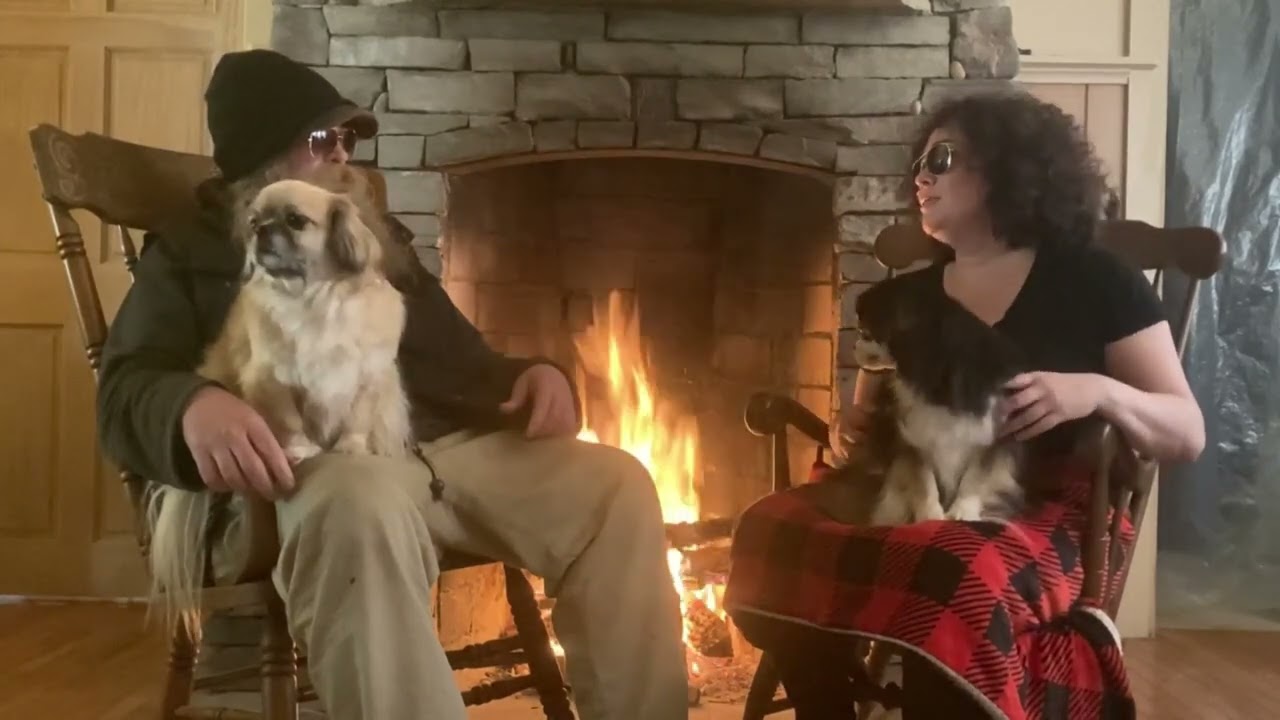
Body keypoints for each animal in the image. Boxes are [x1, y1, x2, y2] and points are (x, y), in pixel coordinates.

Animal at [147, 169, 413, 634]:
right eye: (254, 221)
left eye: (294, 221)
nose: (261, 231)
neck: (312, 299)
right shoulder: (271, 381)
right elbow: (289, 423)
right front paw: (302, 450)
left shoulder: (367, 376)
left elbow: (355, 420)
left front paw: (351, 447)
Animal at [842, 276, 1030, 526]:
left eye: (865, 333)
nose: (853, 346)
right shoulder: (913, 444)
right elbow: (924, 482)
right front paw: (929, 516)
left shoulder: (993, 439)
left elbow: (975, 479)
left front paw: (963, 512)